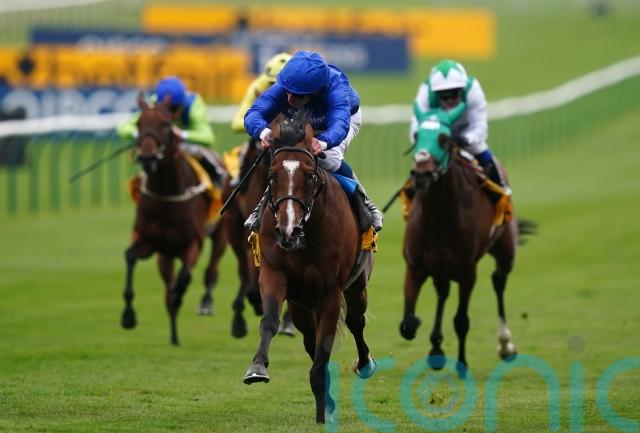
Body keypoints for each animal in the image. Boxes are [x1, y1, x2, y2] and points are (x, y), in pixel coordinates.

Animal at [120, 93, 227, 345]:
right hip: (164, 255)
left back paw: (205, 305)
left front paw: (180, 297)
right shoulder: (148, 241)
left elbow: (185, 277)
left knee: (211, 270)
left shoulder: (193, 244)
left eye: (166, 124)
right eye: (139, 123)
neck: (166, 196)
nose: (148, 158)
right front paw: (128, 316)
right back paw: (174, 335)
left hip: (221, 233)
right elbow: (130, 256)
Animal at [242, 110, 377, 424]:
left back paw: (365, 364)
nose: (288, 230)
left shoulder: (330, 292)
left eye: (310, 175)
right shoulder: (274, 275)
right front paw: (257, 367)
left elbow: (323, 352)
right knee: (309, 339)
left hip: (356, 285)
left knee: (355, 321)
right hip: (300, 305)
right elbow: (270, 321)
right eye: (271, 175)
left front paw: (321, 413)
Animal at [399, 103, 531, 374]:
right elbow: (407, 324)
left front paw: (462, 363)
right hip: (440, 266)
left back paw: (505, 345)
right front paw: (426, 335)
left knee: (498, 280)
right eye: (417, 136)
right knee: (443, 291)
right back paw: (436, 348)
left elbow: (461, 320)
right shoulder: (415, 265)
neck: (439, 219)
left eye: (444, 137)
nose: (422, 175)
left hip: (505, 251)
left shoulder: (468, 270)